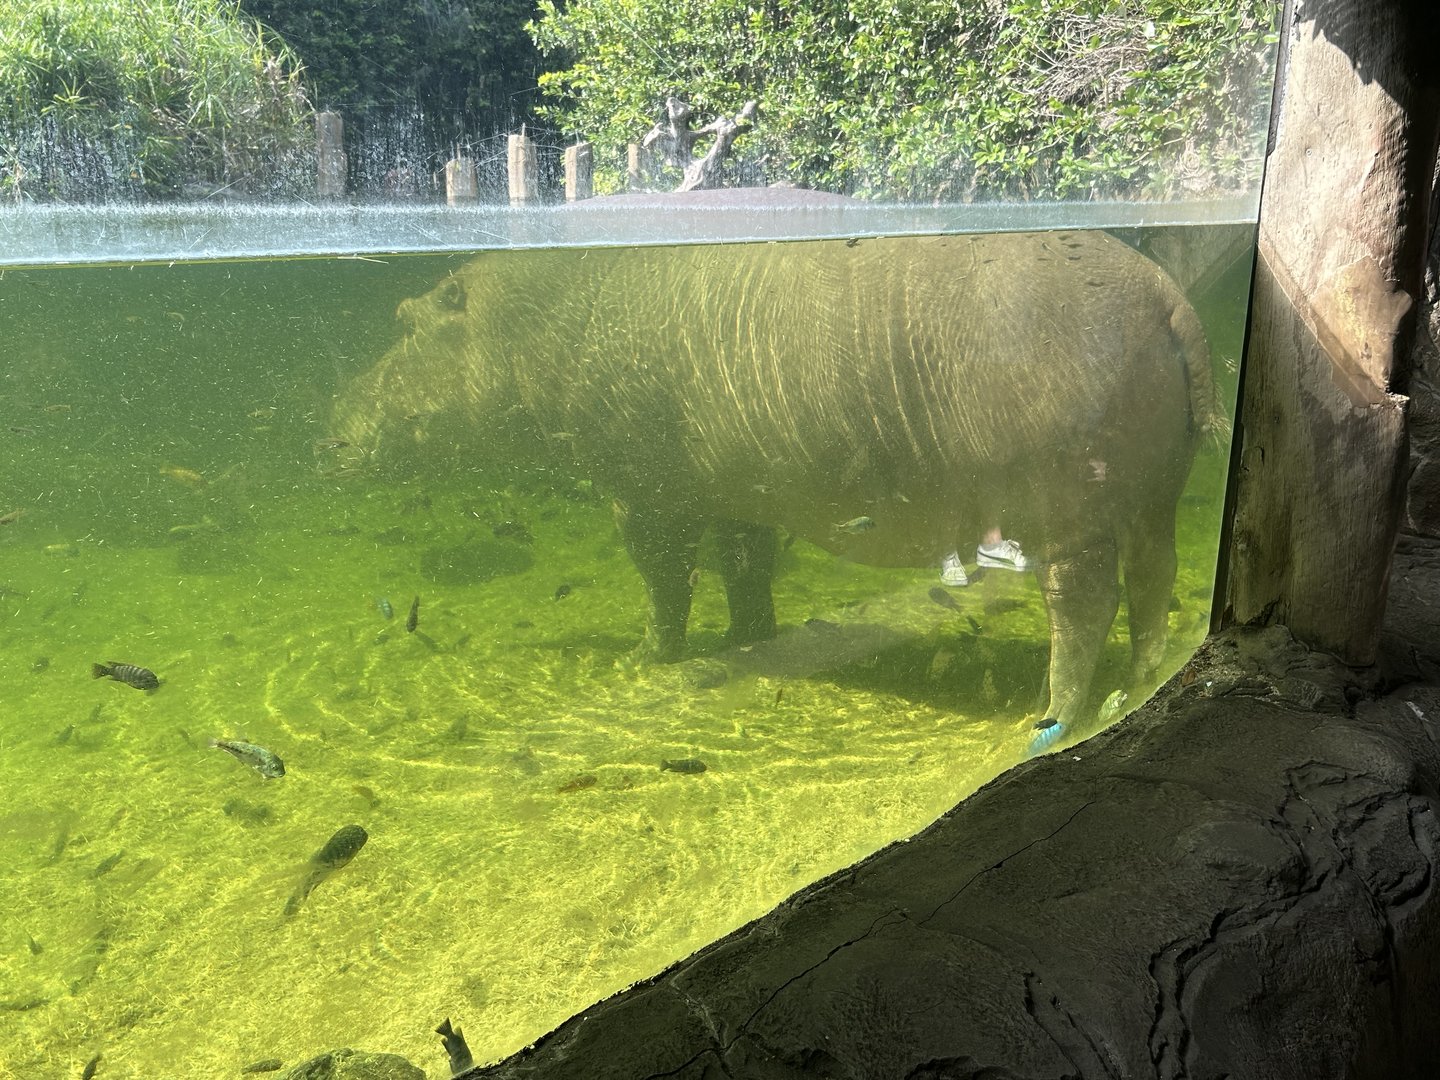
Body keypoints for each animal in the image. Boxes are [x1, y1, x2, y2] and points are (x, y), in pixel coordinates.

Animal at [330, 192, 1224, 727]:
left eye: (405, 318)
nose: (328, 427)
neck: (524, 318)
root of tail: (1165, 294)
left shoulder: (642, 489)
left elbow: (663, 575)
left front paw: (648, 657)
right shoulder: (738, 485)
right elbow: (744, 562)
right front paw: (749, 640)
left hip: (1066, 510)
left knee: (1082, 605)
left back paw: (1051, 715)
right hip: (1150, 495)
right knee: (1155, 579)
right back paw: (1138, 682)